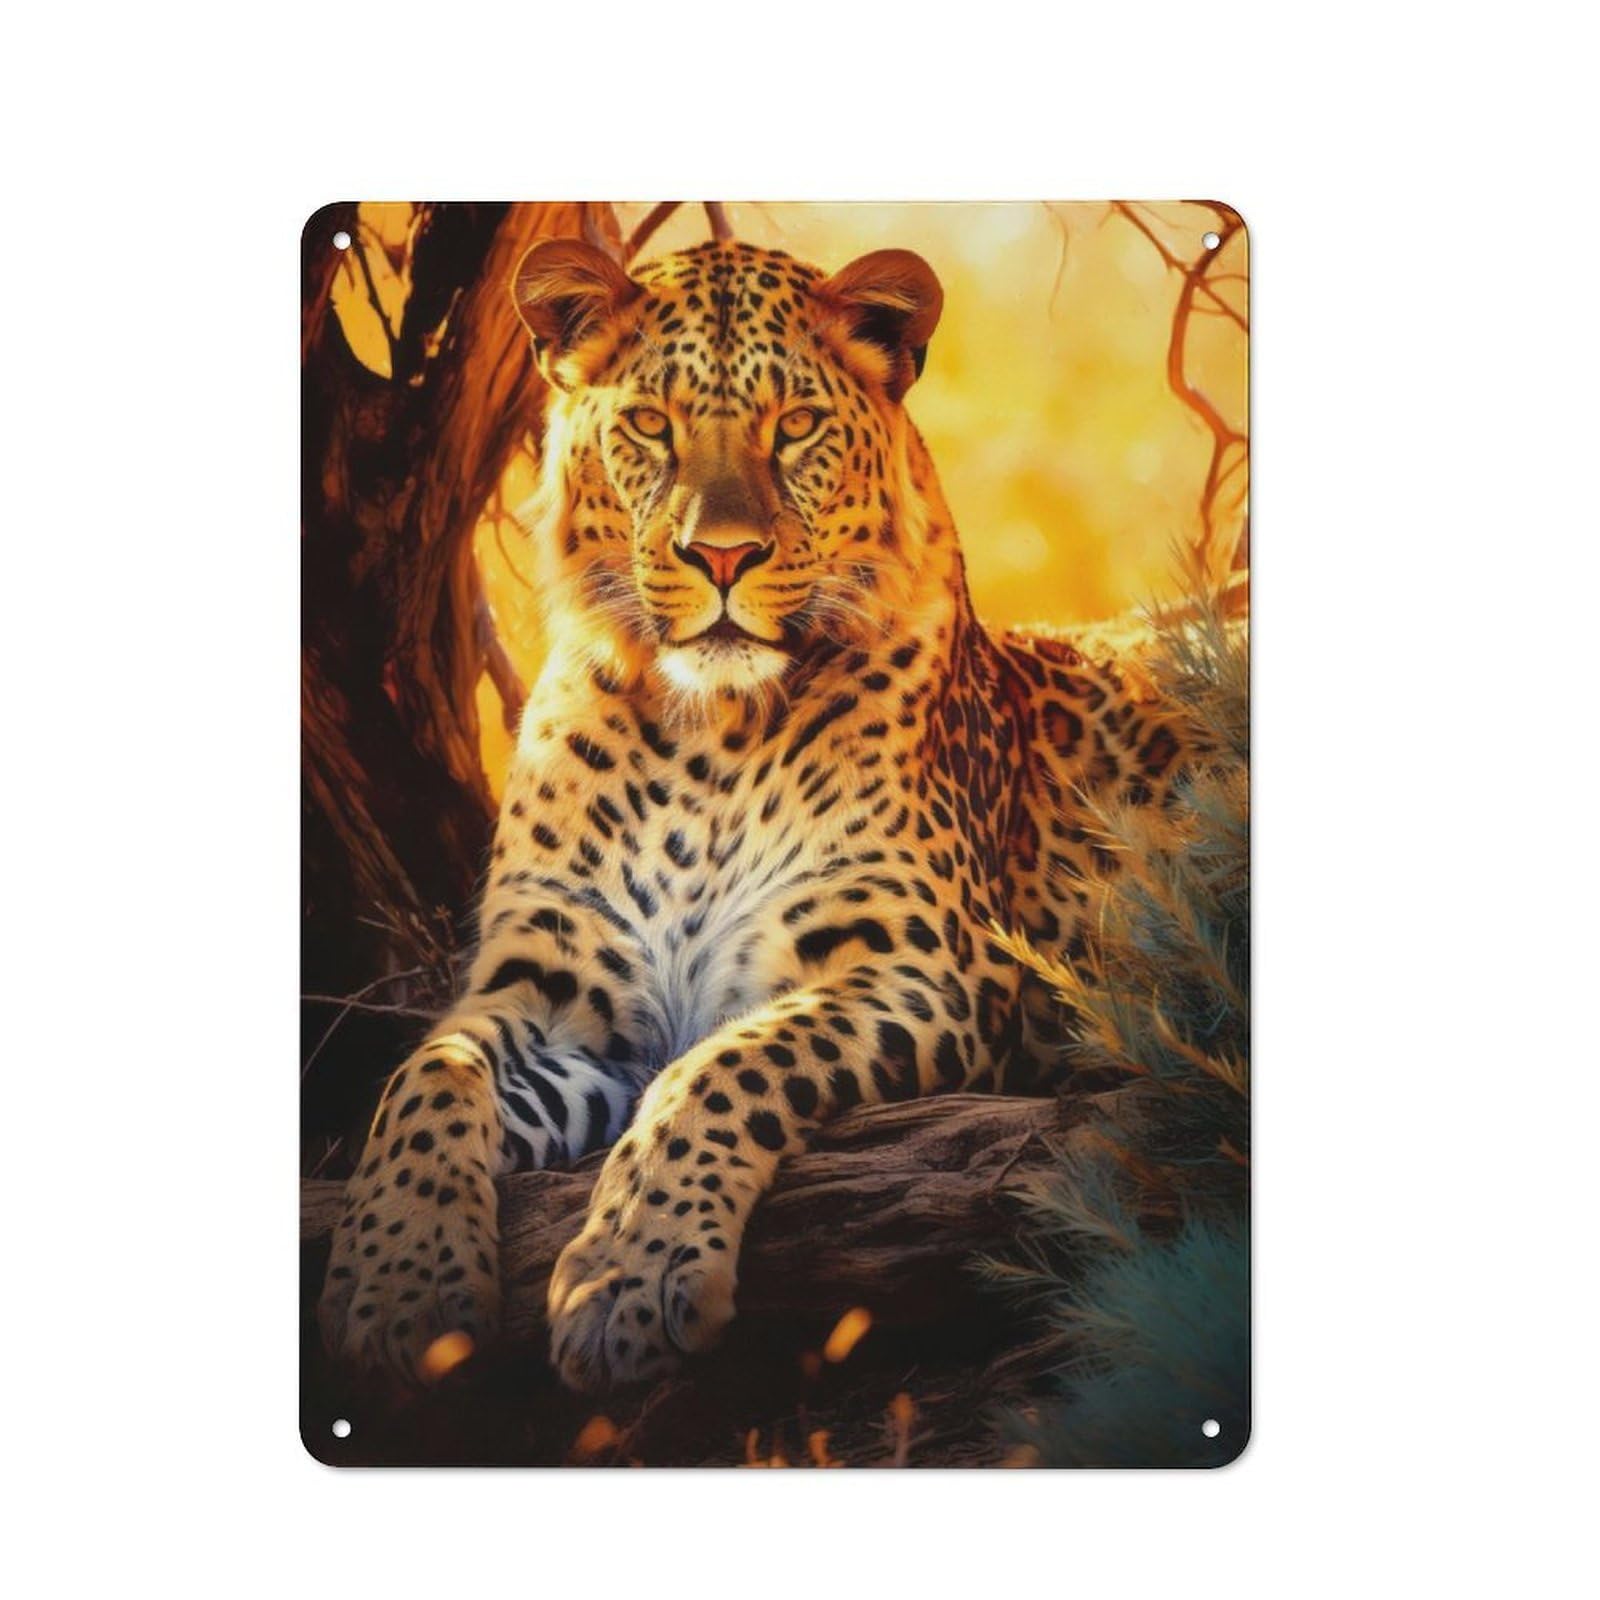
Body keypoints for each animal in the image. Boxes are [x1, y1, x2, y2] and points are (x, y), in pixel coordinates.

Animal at [317, 236, 1189, 1393]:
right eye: (651, 425)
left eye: (797, 425)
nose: (722, 556)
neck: (707, 741)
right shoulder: (550, 994)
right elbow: (427, 1076)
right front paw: (398, 1283)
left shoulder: (919, 973)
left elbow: (721, 1069)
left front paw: (630, 1277)